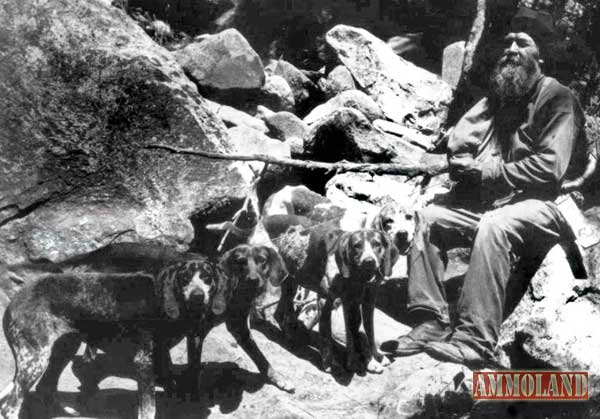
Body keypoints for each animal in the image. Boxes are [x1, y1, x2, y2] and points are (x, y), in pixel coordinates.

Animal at [0, 243, 290, 419]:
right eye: (184, 278)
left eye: (262, 262)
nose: (198, 296)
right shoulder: (147, 360)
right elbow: (151, 406)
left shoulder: (235, 327)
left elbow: (259, 357)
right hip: (34, 360)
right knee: (10, 404)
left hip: (62, 348)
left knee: (46, 387)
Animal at [272, 225, 394, 376]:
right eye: (357, 246)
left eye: (377, 244)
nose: (369, 262)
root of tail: (290, 232)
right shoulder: (326, 301)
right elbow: (327, 336)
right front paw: (332, 363)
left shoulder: (364, 302)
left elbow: (366, 333)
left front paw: (373, 359)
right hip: (291, 285)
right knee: (287, 313)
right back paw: (291, 333)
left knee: (279, 313)